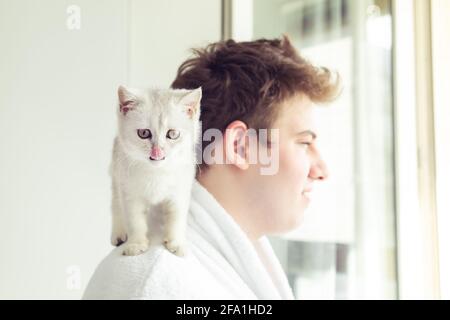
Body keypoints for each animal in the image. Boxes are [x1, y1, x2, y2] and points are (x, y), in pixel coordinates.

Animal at [110, 84, 201, 255]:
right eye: (144, 133)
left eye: (173, 134)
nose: (157, 152)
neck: (156, 173)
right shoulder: (129, 191)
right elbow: (134, 220)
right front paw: (136, 244)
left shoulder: (181, 190)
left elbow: (177, 217)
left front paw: (176, 243)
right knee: (115, 203)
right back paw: (118, 234)